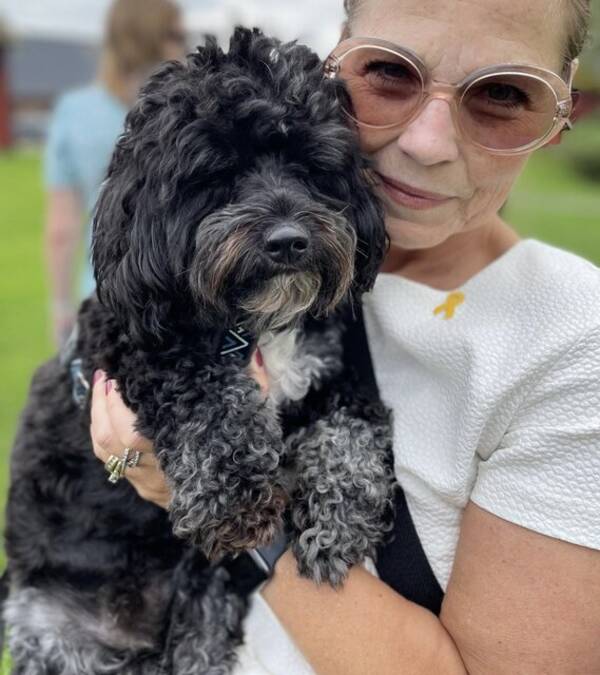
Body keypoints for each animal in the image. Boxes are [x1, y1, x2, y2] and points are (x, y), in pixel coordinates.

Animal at [3, 27, 394, 675]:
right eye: (218, 174)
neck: (251, 324)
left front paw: (339, 522)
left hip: (202, 610)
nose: (290, 241)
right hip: (52, 633)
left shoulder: (331, 373)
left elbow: (350, 432)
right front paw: (233, 497)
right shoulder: (134, 349)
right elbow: (207, 396)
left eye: (310, 167)